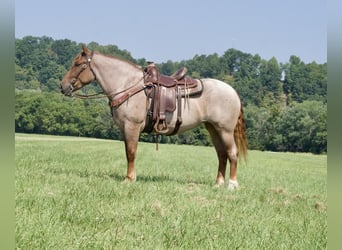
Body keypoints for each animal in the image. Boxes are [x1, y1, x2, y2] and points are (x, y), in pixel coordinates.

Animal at [60, 44, 247, 189]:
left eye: (77, 64)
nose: (62, 86)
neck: (128, 85)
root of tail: (233, 91)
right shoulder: (125, 129)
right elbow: (128, 152)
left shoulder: (132, 126)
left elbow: (131, 152)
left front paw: (129, 179)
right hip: (213, 129)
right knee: (221, 154)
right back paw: (218, 184)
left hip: (225, 130)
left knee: (232, 153)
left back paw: (232, 184)